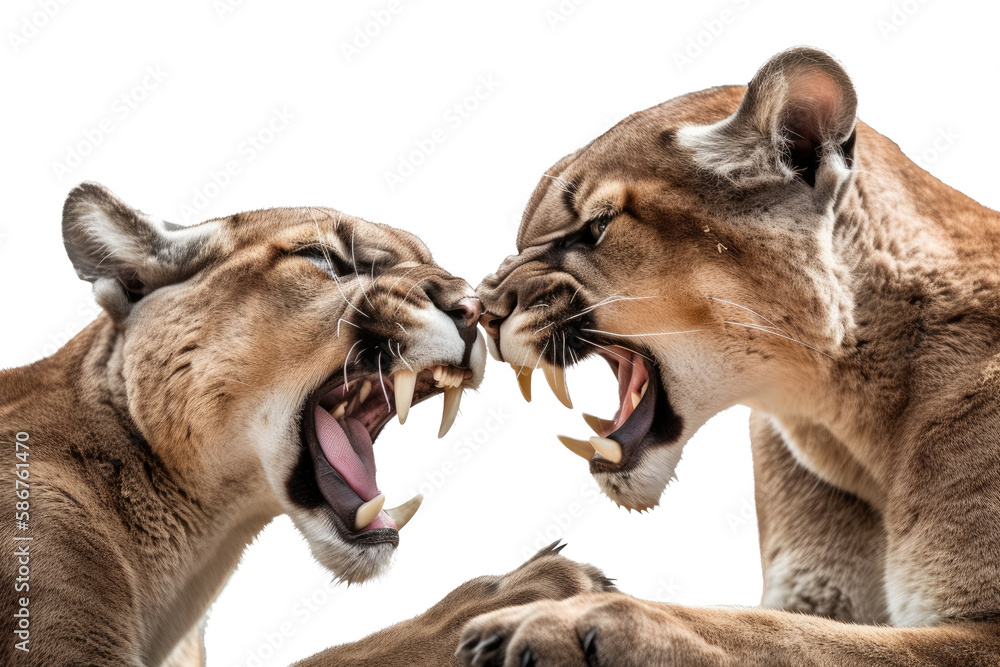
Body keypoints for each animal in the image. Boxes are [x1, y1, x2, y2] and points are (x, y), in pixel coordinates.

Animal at [464, 47, 1000, 664]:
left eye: (595, 228)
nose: (484, 309)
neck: (847, 426)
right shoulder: (813, 589)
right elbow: (782, 626)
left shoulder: (981, 626)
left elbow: (770, 632)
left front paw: (558, 619)